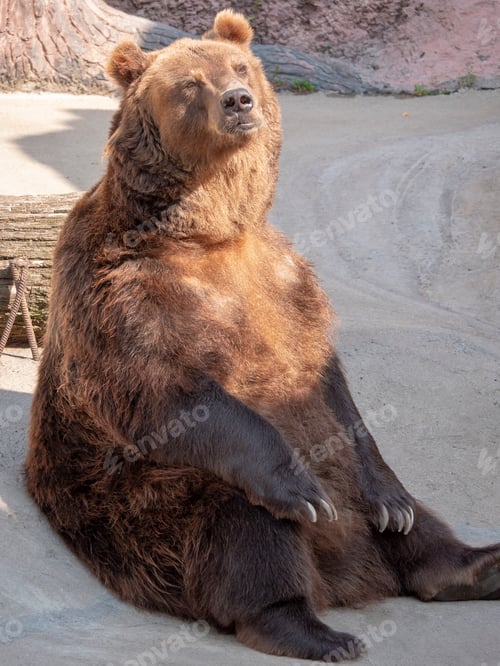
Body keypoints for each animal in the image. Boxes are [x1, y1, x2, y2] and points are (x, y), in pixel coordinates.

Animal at [25, 9, 500, 662]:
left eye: (240, 67)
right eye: (191, 83)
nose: (238, 100)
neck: (206, 229)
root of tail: (347, 577)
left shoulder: (285, 279)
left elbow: (329, 385)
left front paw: (393, 500)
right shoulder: (120, 284)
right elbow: (165, 390)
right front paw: (298, 485)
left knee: (406, 517)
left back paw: (470, 562)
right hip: (142, 507)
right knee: (239, 525)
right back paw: (313, 628)